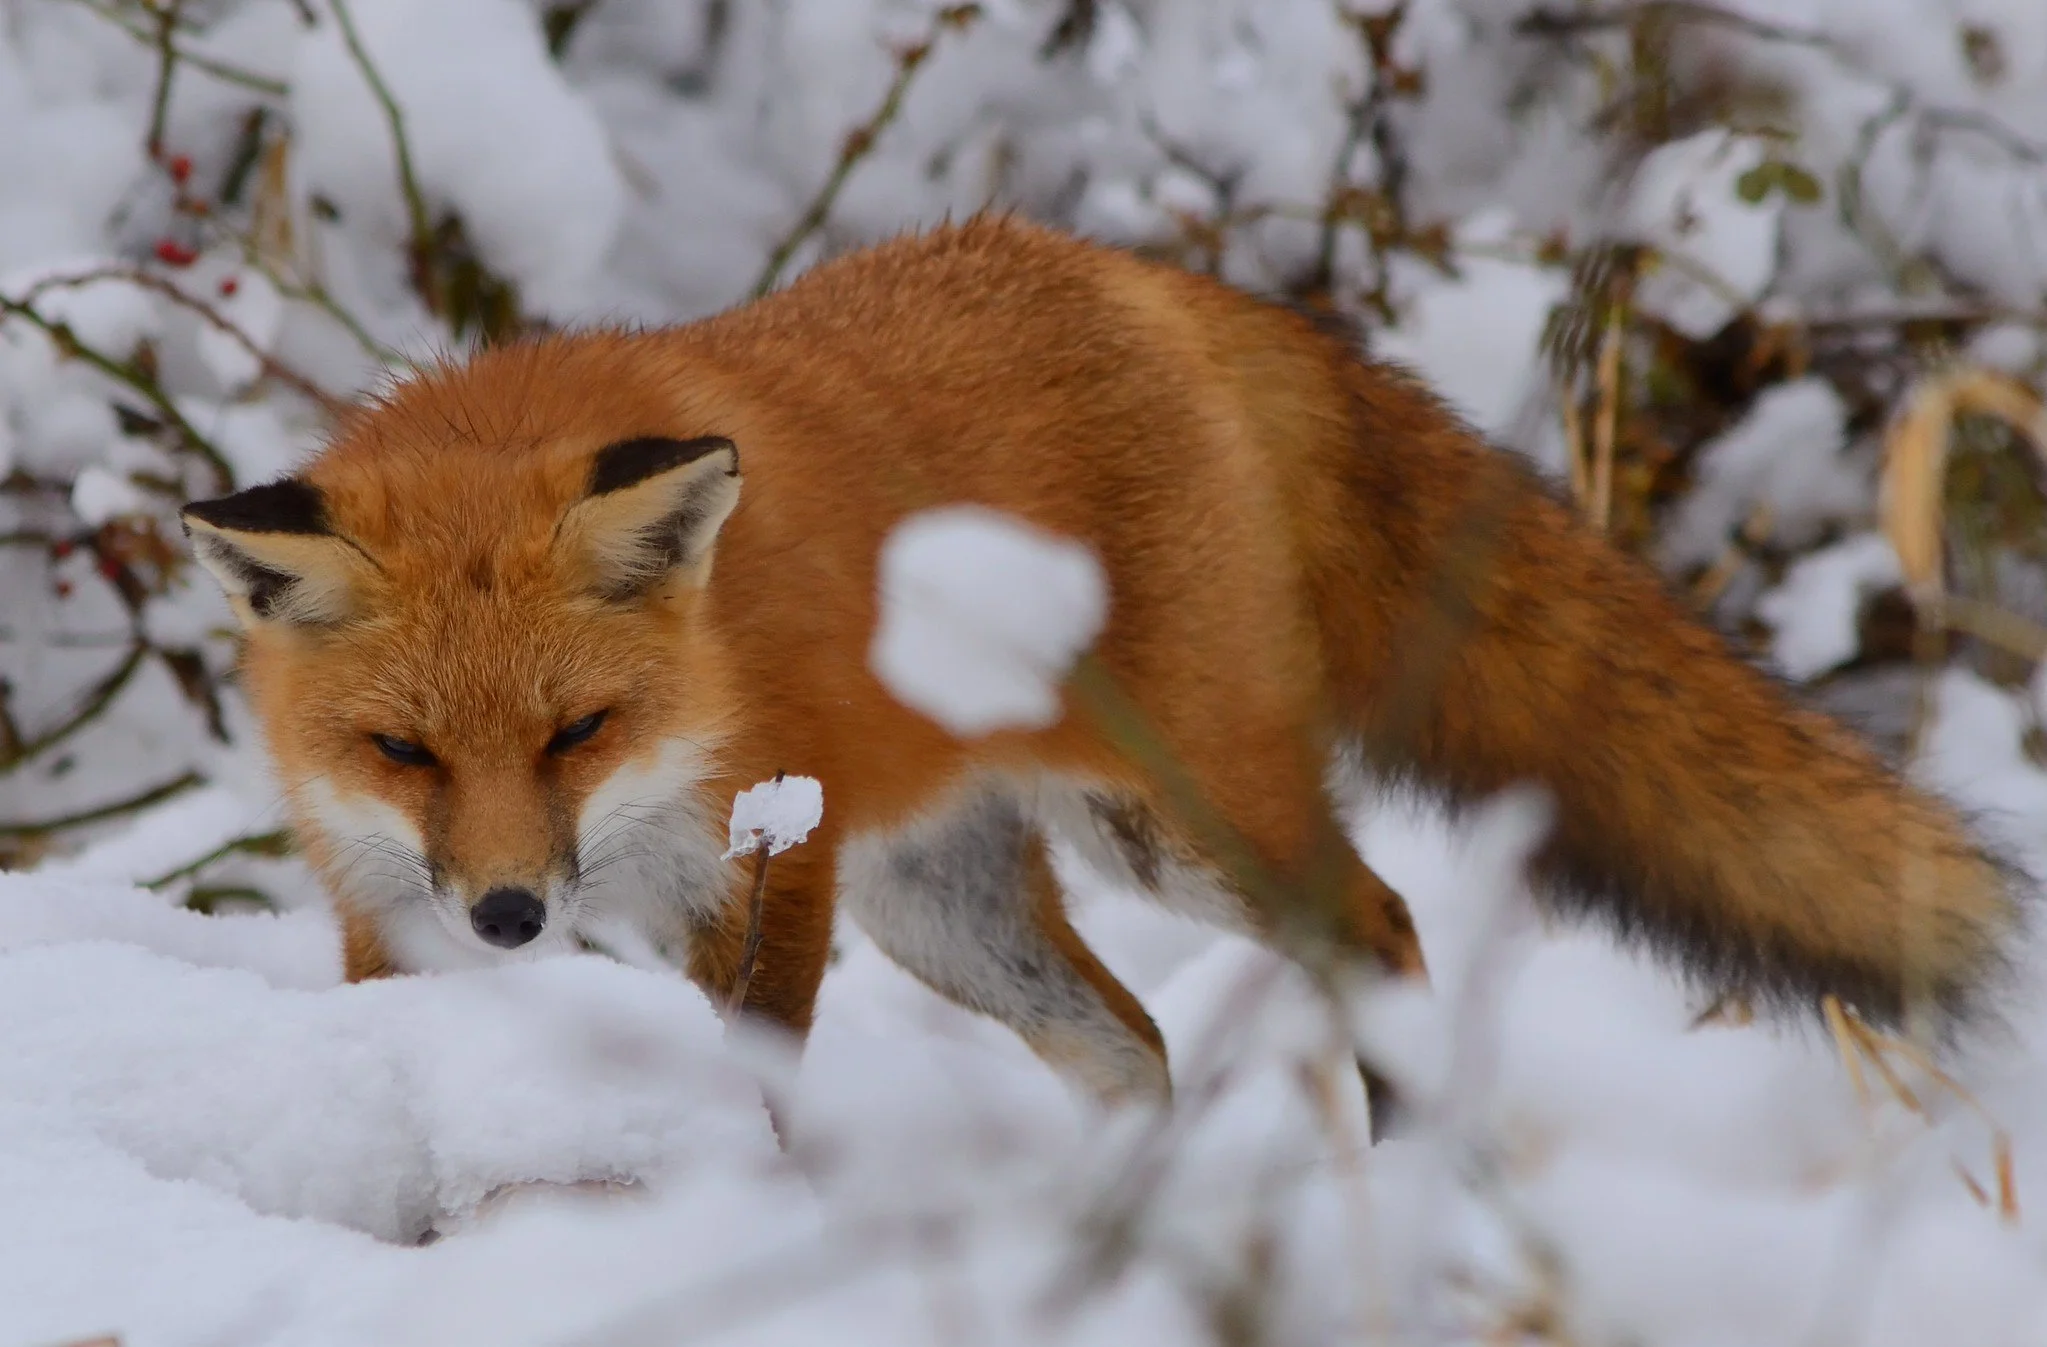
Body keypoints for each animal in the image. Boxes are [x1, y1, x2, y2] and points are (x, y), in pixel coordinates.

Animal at [181, 215, 2020, 1111]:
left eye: (580, 726)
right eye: (405, 752)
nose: (511, 911)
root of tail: (1129, 276)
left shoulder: (764, 873)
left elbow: (755, 1098)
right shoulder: (391, 912)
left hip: (1184, 823)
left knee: (1379, 925)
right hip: (949, 904)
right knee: (1129, 1049)